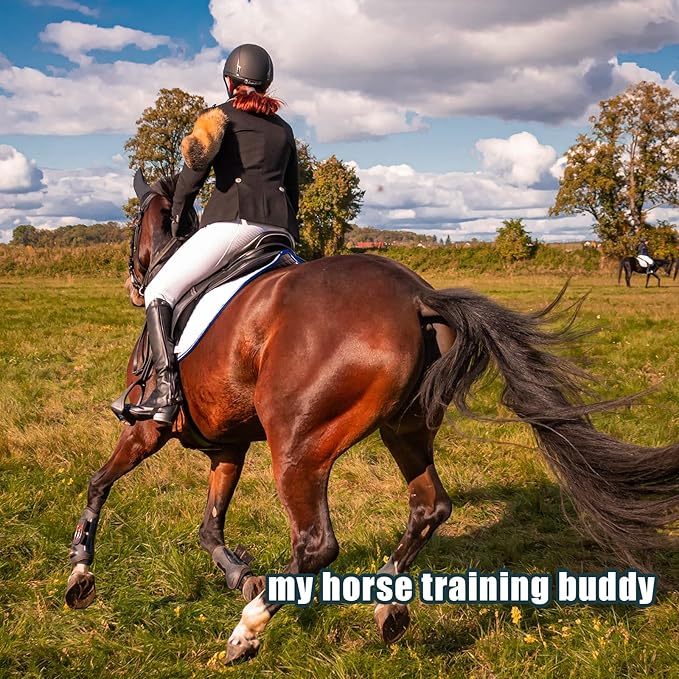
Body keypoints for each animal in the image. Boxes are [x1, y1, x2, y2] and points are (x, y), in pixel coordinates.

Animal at [65, 176, 679, 665]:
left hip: (298, 445)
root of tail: (417, 298)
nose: (134, 283)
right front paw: (241, 575)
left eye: (132, 224)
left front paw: (80, 574)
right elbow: (209, 527)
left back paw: (249, 630)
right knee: (430, 506)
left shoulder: (147, 428)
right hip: (404, 429)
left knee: (316, 545)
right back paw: (388, 608)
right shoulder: (227, 446)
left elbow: (98, 483)